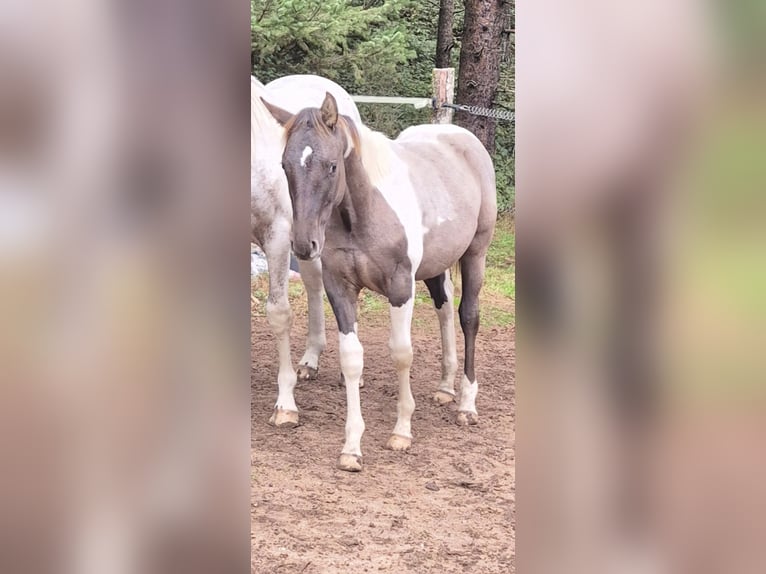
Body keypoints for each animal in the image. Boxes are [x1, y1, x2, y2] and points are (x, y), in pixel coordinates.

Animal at [263, 93, 497, 471]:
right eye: (285, 166)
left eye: (331, 166)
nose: (302, 245)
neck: (362, 213)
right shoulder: (340, 289)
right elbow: (351, 358)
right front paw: (351, 447)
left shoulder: (400, 287)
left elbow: (401, 353)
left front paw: (402, 431)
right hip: (435, 265)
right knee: (444, 307)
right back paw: (445, 388)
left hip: (476, 253)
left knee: (469, 317)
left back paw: (466, 404)